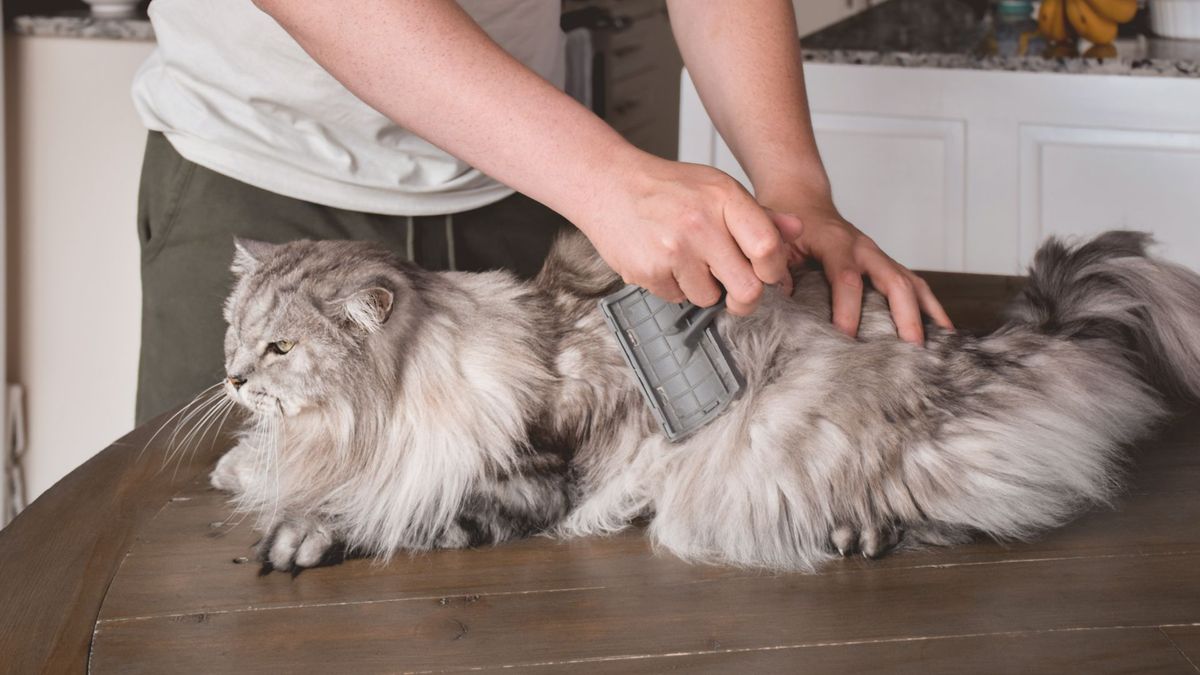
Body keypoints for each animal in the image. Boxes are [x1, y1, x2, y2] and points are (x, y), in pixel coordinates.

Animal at [196, 228, 1200, 569]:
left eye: (281, 347)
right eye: (235, 332)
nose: (236, 375)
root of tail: (978, 348)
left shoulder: (527, 476)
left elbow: (391, 512)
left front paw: (302, 532)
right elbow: (263, 465)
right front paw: (237, 468)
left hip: (835, 446)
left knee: (1000, 505)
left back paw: (862, 533)